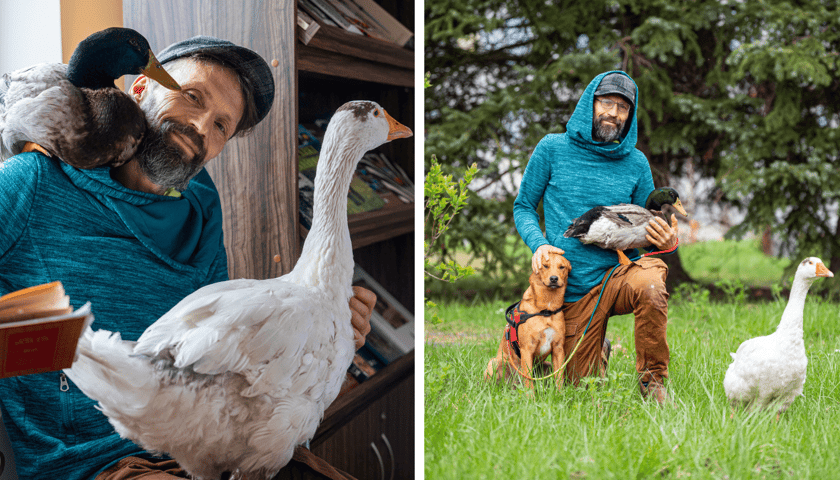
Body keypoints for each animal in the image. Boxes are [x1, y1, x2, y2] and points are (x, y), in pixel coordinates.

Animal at [486, 249, 572, 392]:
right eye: (545, 266)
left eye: (562, 267)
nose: (554, 278)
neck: (546, 310)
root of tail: (513, 385)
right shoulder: (527, 349)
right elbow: (528, 379)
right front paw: (530, 396)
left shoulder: (558, 348)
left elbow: (559, 376)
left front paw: (560, 394)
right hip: (494, 362)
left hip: (546, 365)